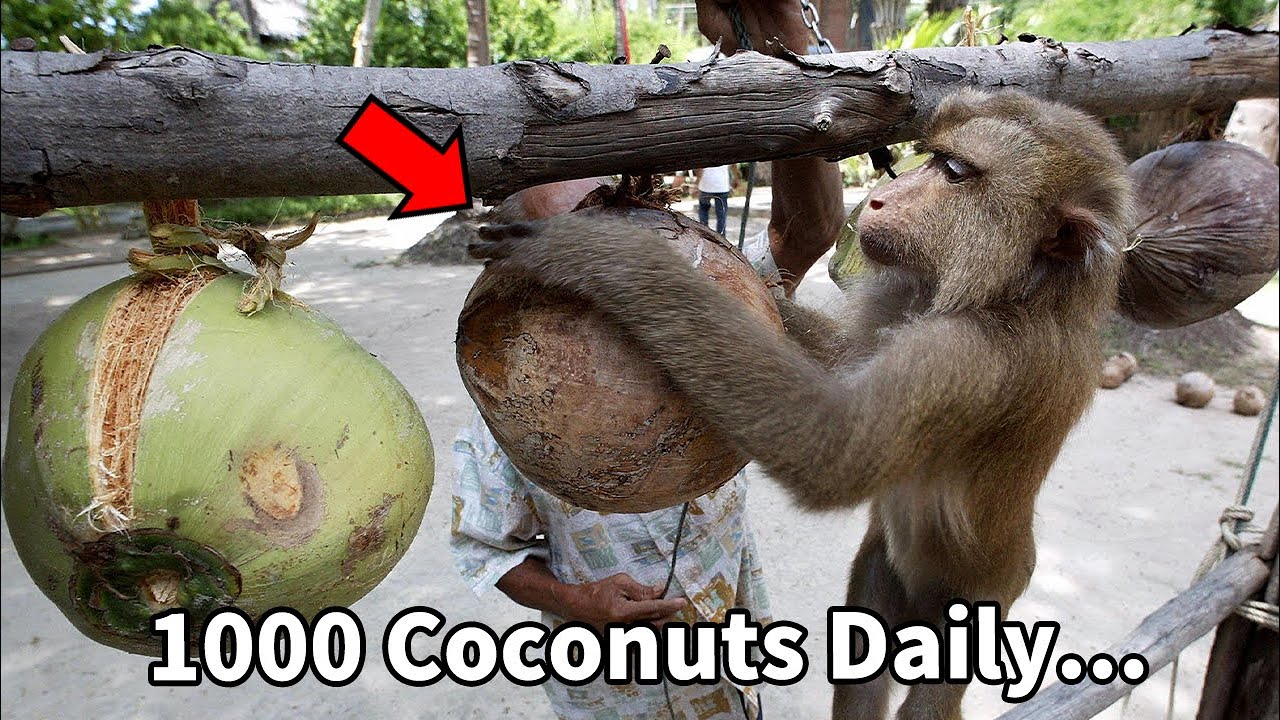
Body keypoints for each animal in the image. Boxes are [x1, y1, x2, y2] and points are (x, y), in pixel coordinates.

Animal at [468, 89, 1135, 720]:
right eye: (932, 158)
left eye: (953, 170)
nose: (882, 199)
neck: (1026, 289)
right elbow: (839, 361)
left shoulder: (971, 356)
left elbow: (830, 446)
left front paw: (590, 247)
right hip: (891, 568)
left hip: (985, 596)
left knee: (935, 694)